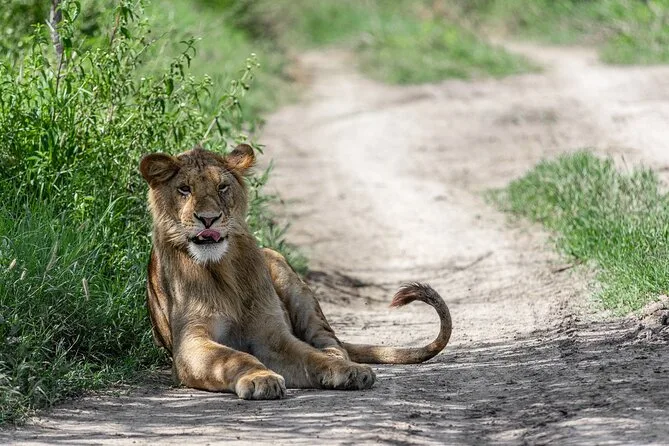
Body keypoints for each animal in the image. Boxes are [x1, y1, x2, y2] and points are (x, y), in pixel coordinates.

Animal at [139, 144, 452, 399]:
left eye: (222, 187)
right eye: (184, 189)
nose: (208, 219)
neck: (221, 269)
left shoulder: (272, 336)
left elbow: (311, 357)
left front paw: (344, 370)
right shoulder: (189, 345)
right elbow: (235, 358)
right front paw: (261, 377)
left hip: (281, 266)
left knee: (332, 341)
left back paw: (345, 361)